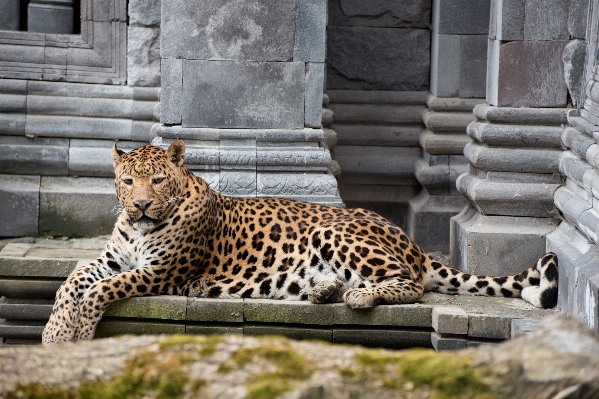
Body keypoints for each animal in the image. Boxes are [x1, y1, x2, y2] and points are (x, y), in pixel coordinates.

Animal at [43, 140, 564, 344]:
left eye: (156, 181)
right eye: (127, 181)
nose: (140, 206)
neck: (139, 231)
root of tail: (409, 241)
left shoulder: (161, 270)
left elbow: (100, 291)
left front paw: (79, 331)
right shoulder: (113, 259)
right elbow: (71, 281)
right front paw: (54, 332)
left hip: (332, 231)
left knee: (410, 283)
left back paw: (357, 297)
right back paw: (323, 291)